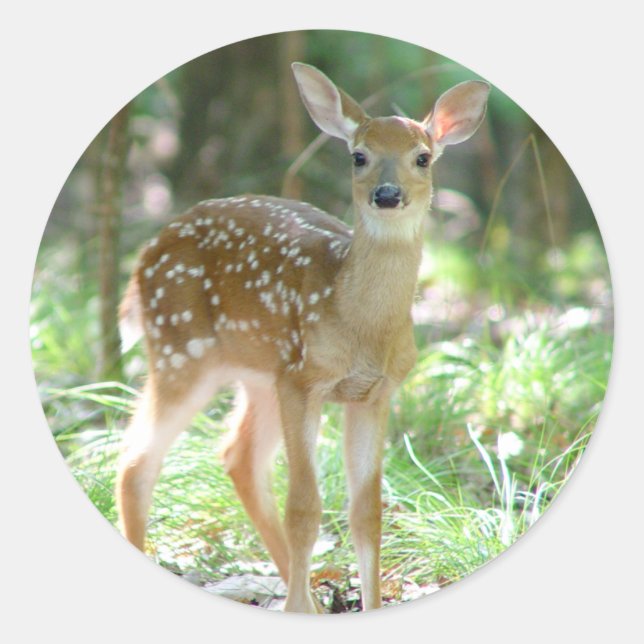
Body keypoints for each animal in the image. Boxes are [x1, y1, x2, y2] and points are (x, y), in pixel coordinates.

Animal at [115, 62, 489, 613]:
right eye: (359, 155)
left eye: (422, 157)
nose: (387, 195)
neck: (358, 325)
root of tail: (143, 257)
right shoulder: (302, 378)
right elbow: (305, 509)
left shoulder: (373, 393)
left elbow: (366, 513)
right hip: (181, 350)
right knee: (137, 462)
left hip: (256, 373)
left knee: (237, 456)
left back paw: (309, 600)